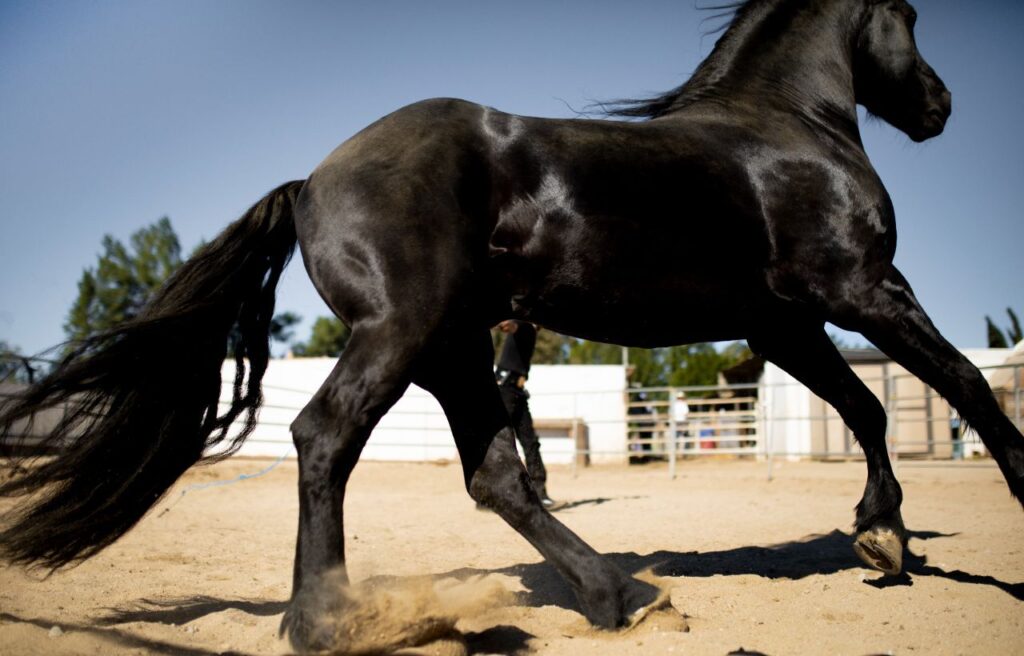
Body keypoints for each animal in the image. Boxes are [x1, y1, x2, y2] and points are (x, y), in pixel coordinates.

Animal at [2, 0, 1022, 651]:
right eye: (912, 14)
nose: (940, 106)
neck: (782, 131)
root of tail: (311, 181)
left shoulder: (783, 325)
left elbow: (870, 408)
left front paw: (882, 536)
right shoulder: (862, 289)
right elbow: (963, 385)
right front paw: (946, 517)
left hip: (449, 351)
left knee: (495, 478)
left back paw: (623, 597)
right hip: (402, 336)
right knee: (324, 437)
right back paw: (326, 622)